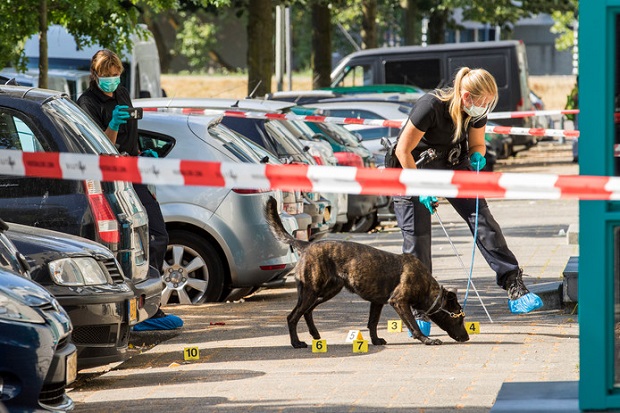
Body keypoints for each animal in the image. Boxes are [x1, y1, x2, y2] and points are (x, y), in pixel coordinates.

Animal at [264, 196, 468, 348]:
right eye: (459, 318)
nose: (467, 337)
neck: (425, 285)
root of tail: (306, 245)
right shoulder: (399, 302)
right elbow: (414, 326)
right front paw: (427, 340)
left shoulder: (377, 303)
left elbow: (372, 323)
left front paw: (376, 340)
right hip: (311, 291)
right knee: (292, 316)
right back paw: (296, 343)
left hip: (327, 291)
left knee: (307, 311)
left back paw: (315, 335)